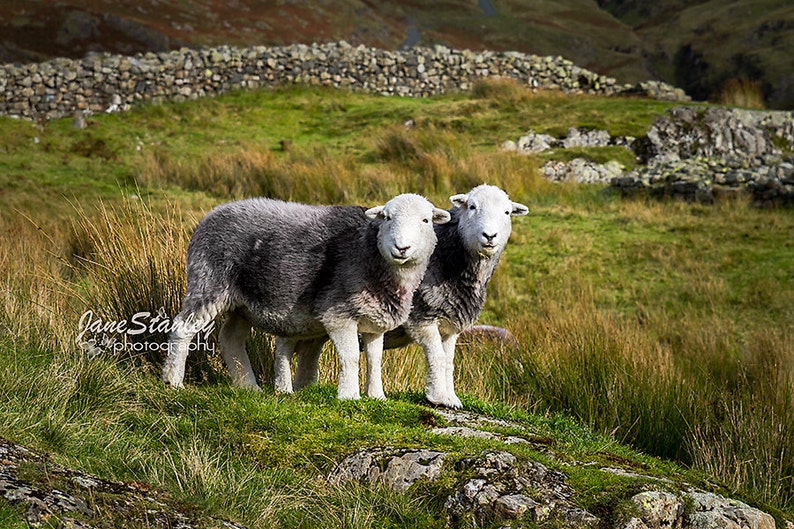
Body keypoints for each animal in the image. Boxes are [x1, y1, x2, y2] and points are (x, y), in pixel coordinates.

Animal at [162, 194, 451, 401]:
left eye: (426, 221)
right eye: (387, 218)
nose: (402, 248)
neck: (369, 253)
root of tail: (211, 214)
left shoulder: (374, 321)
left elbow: (374, 360)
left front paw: (377, 396)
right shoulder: (338, 314)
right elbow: (351, 357)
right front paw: (349, 396)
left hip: (240, 303)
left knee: (231, 337)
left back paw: (248, 386)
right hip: (209, 280)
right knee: (183, 327)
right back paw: (173, 380)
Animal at [289, 184, 528, 408]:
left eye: (507, 212)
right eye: (472, 207)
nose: (490, 236)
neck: (450, 260)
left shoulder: (450, 324)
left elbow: (448, 361)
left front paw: (451, 397)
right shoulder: (422, 318)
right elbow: (437, 356)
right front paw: (437, 396)